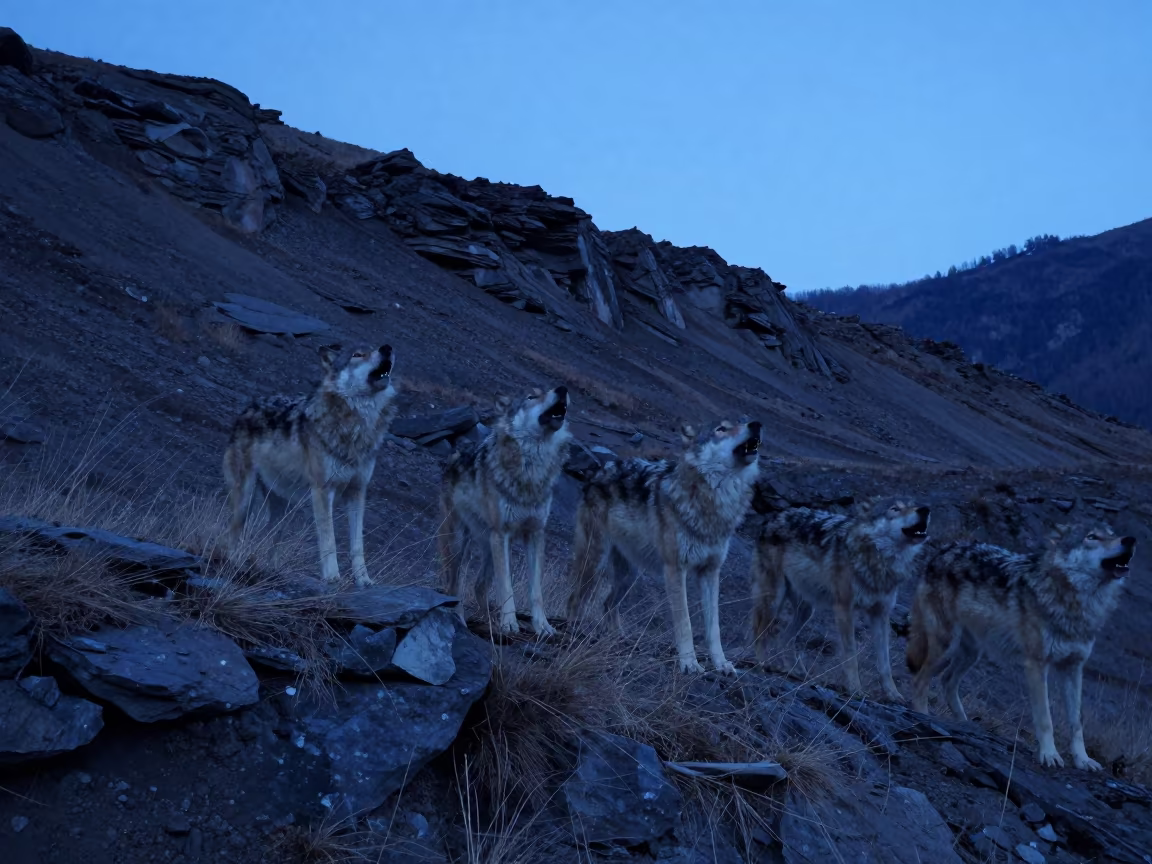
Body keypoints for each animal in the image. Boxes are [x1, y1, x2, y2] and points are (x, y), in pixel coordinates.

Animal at [223, 344, 397, 586]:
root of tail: (247, 407)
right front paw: (332, 577)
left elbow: (357, 545)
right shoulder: (323, 490)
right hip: (245, 499)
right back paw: (235, 563)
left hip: (283, 508)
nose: (387, 348)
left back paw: (271, 571)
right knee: (233, 531)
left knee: (271, 536)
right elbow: (329, 538)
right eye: (357, 355)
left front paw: (363, 580)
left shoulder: (357, 491)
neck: (358, 425)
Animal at [439, 385, 572, 636]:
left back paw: (490, 621)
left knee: (479, 585)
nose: (562, 389)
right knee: (454, 586)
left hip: (490, 546)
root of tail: (454, 454)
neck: (532, 469)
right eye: (532, 396)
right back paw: (461, 620)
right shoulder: (502, 534)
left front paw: (542, 626)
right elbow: (506, 586)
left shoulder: (535, 534)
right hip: (460, 543)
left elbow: (536, 590)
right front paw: (509, 624)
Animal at [566, 420, 762, 675]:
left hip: (629, 575)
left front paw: (721, 664)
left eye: (744, 420)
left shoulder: (710, 571)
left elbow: (714, 627)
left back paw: (620, 639)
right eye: (721, 429)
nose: (756, 425)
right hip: (595, 560)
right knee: (575, 598)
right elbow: (685, 622)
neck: (716, 503)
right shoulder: (675, 569)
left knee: (608, 603)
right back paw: (575, 630)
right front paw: (690, 663)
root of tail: (598, 471)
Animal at [751, 498, 931, 701]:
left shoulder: (881, 615)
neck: (880, 563)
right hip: (774, 599)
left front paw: (893, 694)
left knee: (783, 639)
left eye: (914, 505)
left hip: (806, 610)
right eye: (894, 509)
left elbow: (885, 663)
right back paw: (762, 665)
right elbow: (851, 655)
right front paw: (855, 690)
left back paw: (796, 672)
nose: (925, 509)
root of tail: (773, 517)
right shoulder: (844, 608)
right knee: (760, 632)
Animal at [906, 526, 1136, 770]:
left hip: (972, 654)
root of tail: (942, 550)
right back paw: (926, 718)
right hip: (946, 646)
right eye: (1092, 537)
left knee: (947, 681)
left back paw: (966, 724)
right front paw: (1049, 755)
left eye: (1112, 533)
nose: (1130, 540)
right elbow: (1045, 718)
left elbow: (1076, 723)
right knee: (920, 680)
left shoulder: (1074, 668)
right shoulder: (1037, 664)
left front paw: (1083, 760)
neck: (1077, 604)